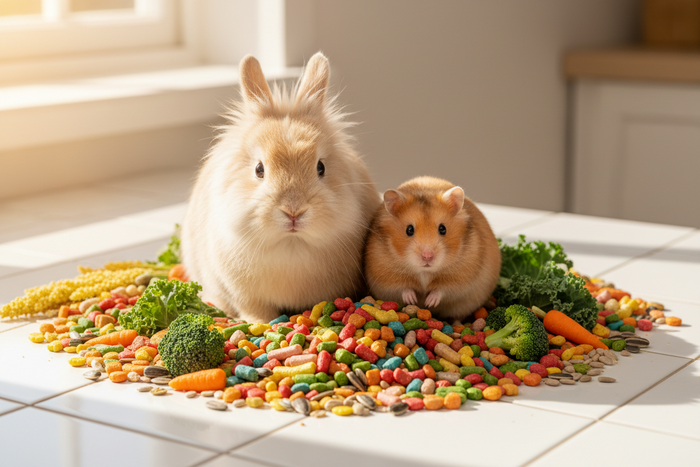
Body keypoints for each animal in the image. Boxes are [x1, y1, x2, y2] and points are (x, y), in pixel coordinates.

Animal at [181, 52, 381, 323]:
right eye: (259, 169)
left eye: (321, 167)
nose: (293, 211)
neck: (291, 243)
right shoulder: (246, 295)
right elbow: (256, 311)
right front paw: (260, 324)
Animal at [364, 176, 501, 321]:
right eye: (409, 230)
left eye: (442, 229)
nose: (427, 256)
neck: (424, 272)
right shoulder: (386, 277)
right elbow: (403, 288)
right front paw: (412, 300)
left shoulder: (460, 279)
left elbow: (441, 290)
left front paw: (429, 303)